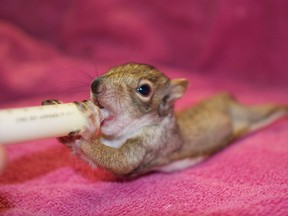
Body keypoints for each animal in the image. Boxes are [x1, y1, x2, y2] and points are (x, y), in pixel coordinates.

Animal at [42, 62, 288, 177]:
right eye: (112, 68)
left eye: (144, 89)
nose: (95, 84)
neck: (120, 133)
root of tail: (229, 98)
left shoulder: (151, 143)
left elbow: (121, 161)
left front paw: (84, 136)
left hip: (253, 115)